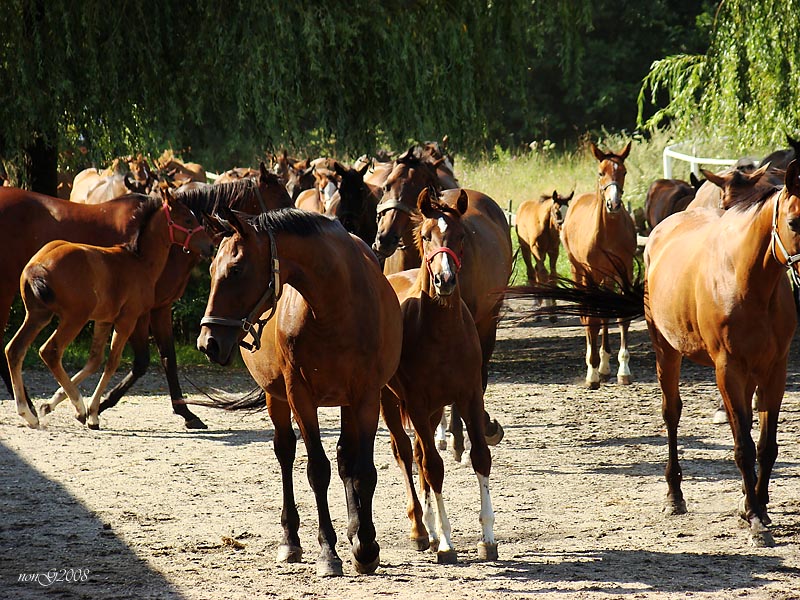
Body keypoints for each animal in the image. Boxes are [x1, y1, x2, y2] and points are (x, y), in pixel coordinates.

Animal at [6, 192, 212, 426]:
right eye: (187, 219)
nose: (209, 246)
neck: (139, 262)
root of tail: (37, 266)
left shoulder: (103, 320)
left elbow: (95, 360)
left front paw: (52, 403)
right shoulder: (130, 319)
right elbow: (113, 362)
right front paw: (92, 411)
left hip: (38, 315)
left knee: (14, 350)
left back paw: (28, 413)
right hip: (74, 318)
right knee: (50, 351)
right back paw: (78, 405)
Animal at [198, 206, 404, 576]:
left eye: (236, 269)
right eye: (210, 270)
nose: (208, 343)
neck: (337, 307)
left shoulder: (366, 396)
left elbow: (362, 471)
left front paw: (365, 546)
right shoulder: (299, 396)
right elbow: (317, 470)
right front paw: (328, 551)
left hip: (346, 402)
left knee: (345, 458)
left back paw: (353, 533)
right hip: (277, 399)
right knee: (286, 452)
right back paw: (290, 540)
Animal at [380, 190, 494, 564]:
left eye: (460, 236)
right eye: (427, 235)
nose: (445, 280)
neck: (442, 334)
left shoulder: (469, 396)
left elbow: (480, 457)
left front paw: (488, 538)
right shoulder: (416, 402)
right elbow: (433, 466)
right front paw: (445, 541)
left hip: (430, 413)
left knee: (417, 452)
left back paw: (428, 529)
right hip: (390, 402)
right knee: (406, 454)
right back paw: (421, 530)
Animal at [516, 189, 572, 318]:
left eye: (568, 210)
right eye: (557, 212)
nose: (565, 229)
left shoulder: (553, 251)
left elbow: (552, 274)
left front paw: (553, 305)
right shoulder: (536, 249)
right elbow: (543, 274)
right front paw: (550, 311)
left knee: (537, 269)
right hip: (526, 248)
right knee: (532, 272)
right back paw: (536, 304)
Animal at [560, 139, 636, 390]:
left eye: (623, 172)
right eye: (601, 172)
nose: (614, 204)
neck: (609, 232)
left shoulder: (625, 271)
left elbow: (621, 317)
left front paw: (623, 370)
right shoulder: (591, 273)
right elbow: (591, 319)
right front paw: (591, 374)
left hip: (607, 276)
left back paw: (604, 366)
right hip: (579, 271)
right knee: (588, 316)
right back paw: (594, 365)